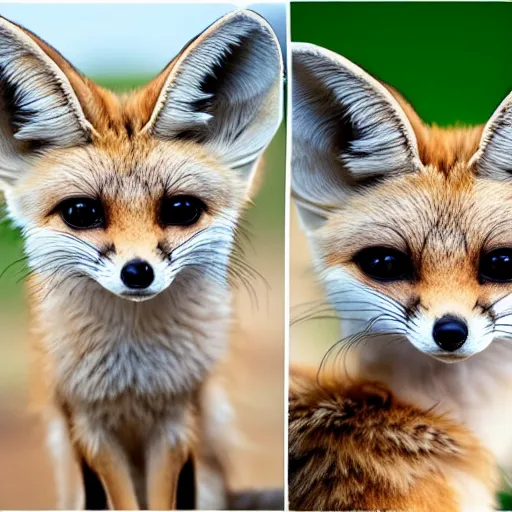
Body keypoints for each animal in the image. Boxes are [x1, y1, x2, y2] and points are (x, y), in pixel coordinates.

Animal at [0, 10, 282, 510]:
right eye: (82, 213)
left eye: (181, 209)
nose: (137, 272)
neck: (132, 372)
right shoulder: (88, 426)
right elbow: (123, 500)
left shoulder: (177, 422)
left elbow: (163, 499)